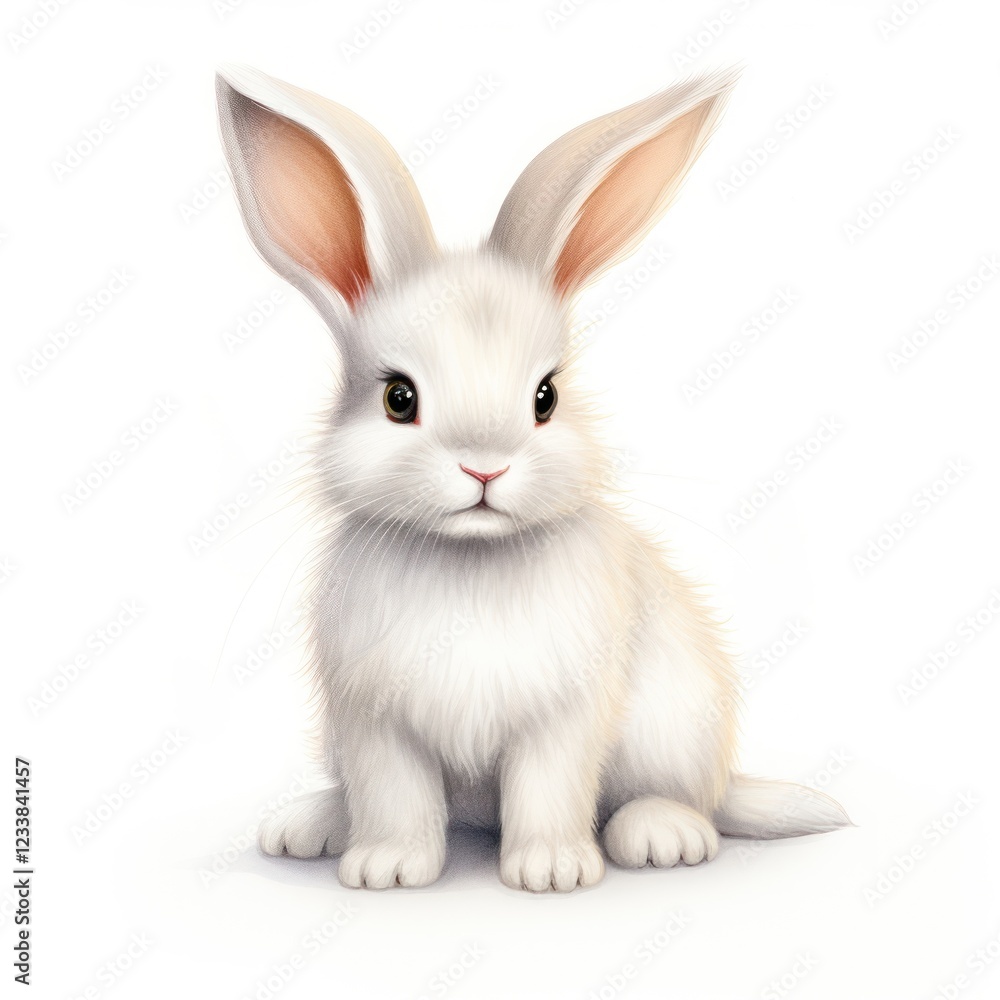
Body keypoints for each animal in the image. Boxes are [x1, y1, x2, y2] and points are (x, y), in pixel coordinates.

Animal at [216, 64, 851, 893]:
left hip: (675, 724)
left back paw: (662, 836)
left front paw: (551, 872)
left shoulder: (566, 713)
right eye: (398, 398)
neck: (470, 557)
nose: (485, 466)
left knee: (676, 795)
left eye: (545, 397)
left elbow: (550, 785)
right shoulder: (373, 721)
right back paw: (307, 826)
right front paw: (388, 868)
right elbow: (395, 796)